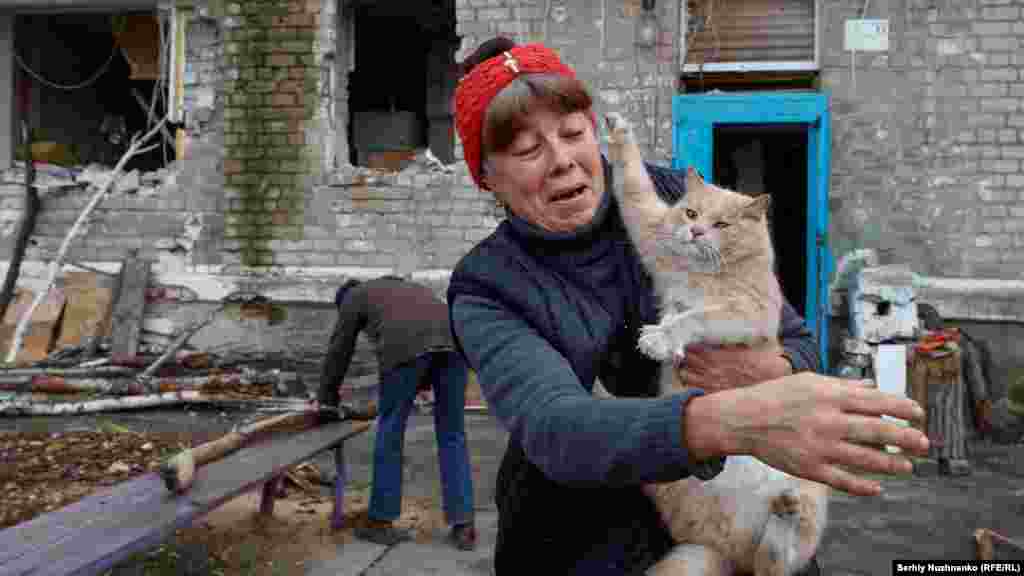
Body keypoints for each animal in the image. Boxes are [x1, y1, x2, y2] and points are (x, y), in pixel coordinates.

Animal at [602, 112, 827, 573]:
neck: (702, 272)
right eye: (690, 211)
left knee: (776, 561)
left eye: (722, 225)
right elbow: (631, 182)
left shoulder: (748, 312)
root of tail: (730, 551)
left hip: (810, 489)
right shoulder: (651, 230)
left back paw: (784, 513)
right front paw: (618, 134)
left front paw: (662, 336)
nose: (695, 231)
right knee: (764, 561)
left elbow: (696, 315)